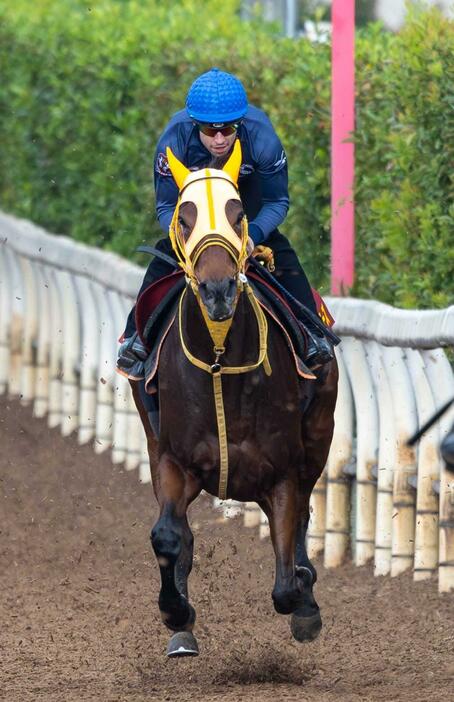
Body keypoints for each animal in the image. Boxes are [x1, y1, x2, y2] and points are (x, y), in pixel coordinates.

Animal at [129, 143, 338, 660]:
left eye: (238, 212)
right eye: (184, 217)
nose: (219, 289)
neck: (221, 361)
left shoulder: (282, 471)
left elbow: (285, 578)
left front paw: (304, 600)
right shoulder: (173, 459)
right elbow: (168, 535)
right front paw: (176, 614)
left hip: (318, 436)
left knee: (303, 517)